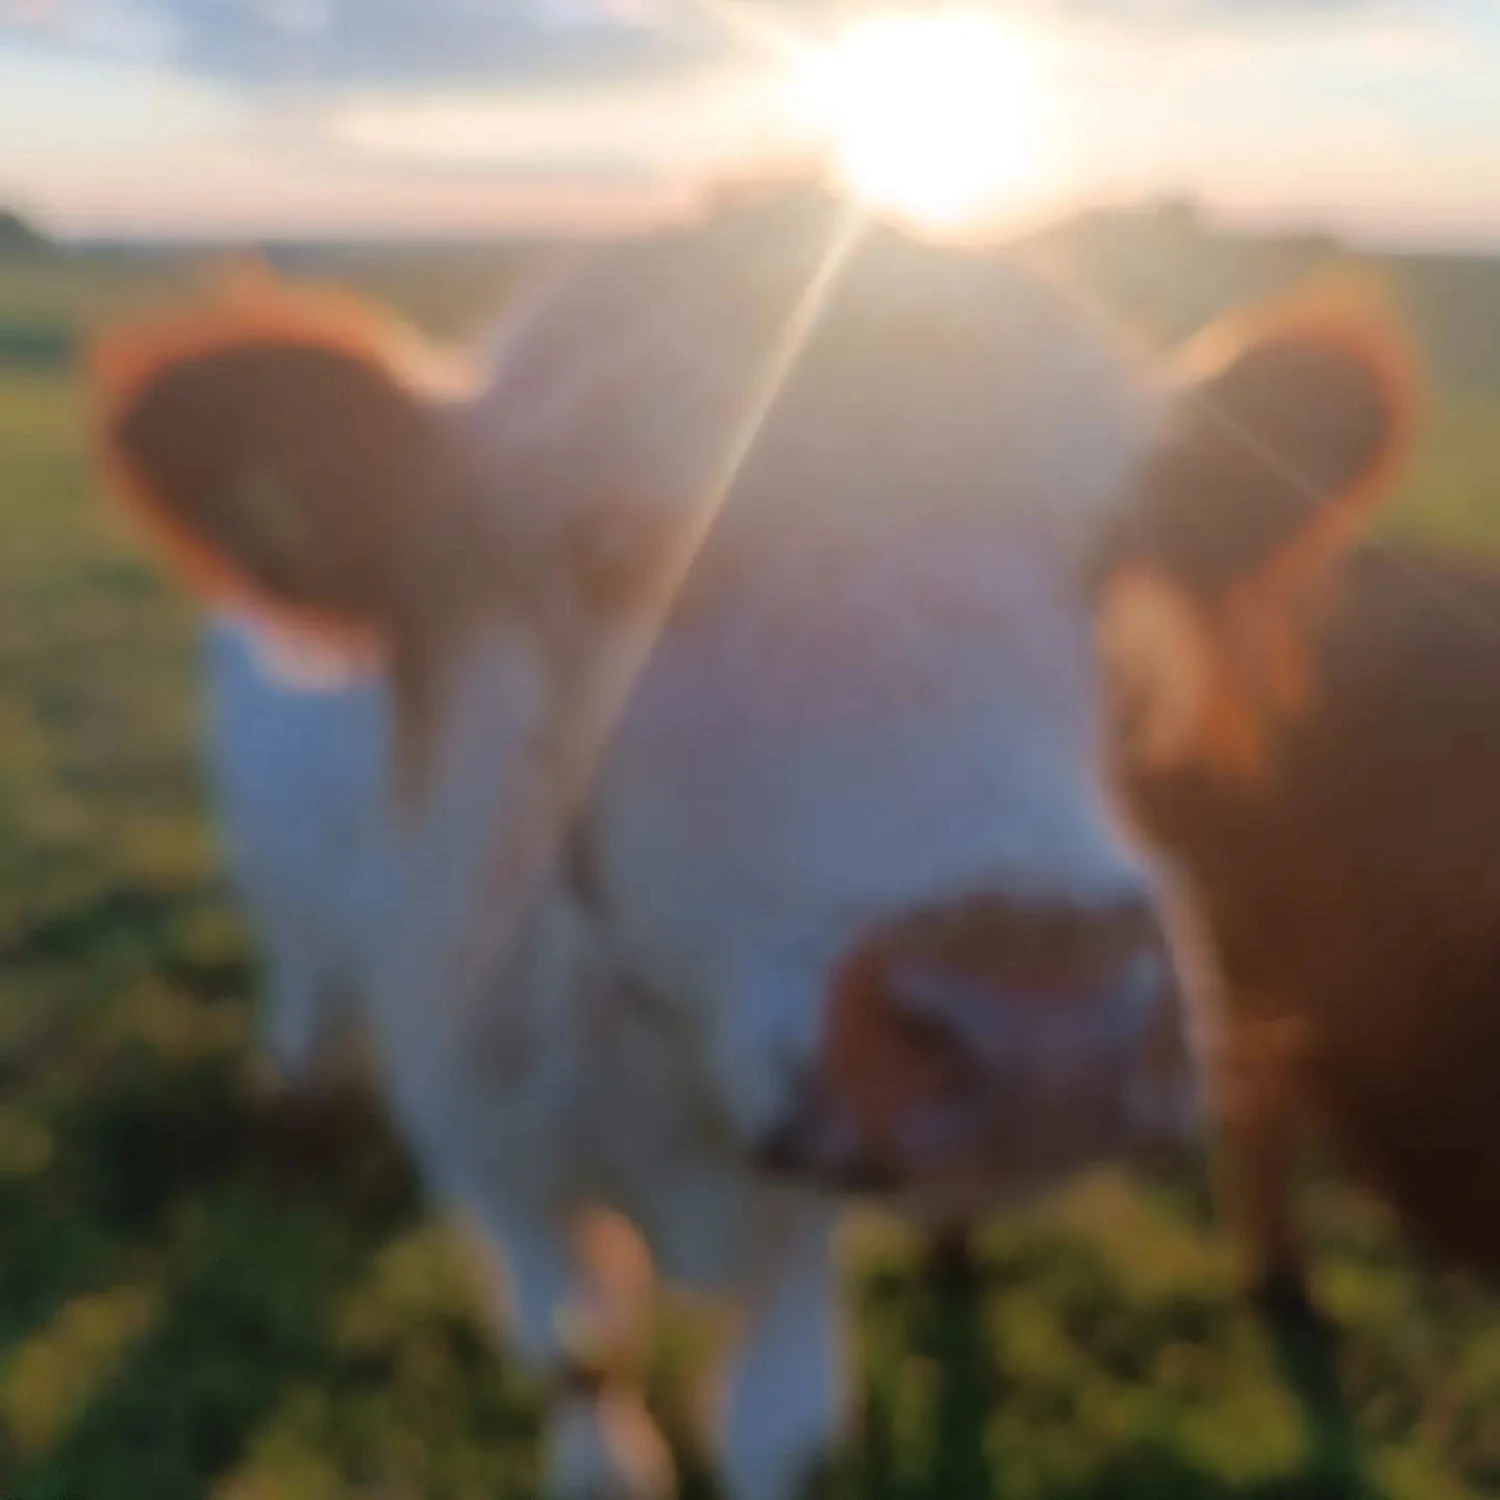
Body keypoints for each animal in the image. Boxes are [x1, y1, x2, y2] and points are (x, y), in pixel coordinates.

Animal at [87, 193, 1200, 1500]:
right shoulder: (496, 1156)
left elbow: (775, 1427)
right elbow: (581, 1361)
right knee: (304, 968)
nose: (1049, 1032)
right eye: (612, 551)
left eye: (1109, 556)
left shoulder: (801, 1211)